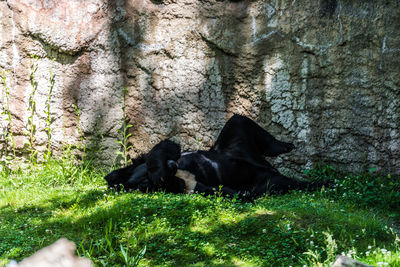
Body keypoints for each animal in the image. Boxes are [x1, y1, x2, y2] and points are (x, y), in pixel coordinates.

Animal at [104, 114, 326, 200]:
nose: (173, 166)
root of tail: (265, 166)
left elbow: (161, 149)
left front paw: (171, 157)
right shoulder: (186, 185)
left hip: (231, 148)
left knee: (238, 121)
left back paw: (285, 145)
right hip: (257, 173)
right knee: (281, 184)